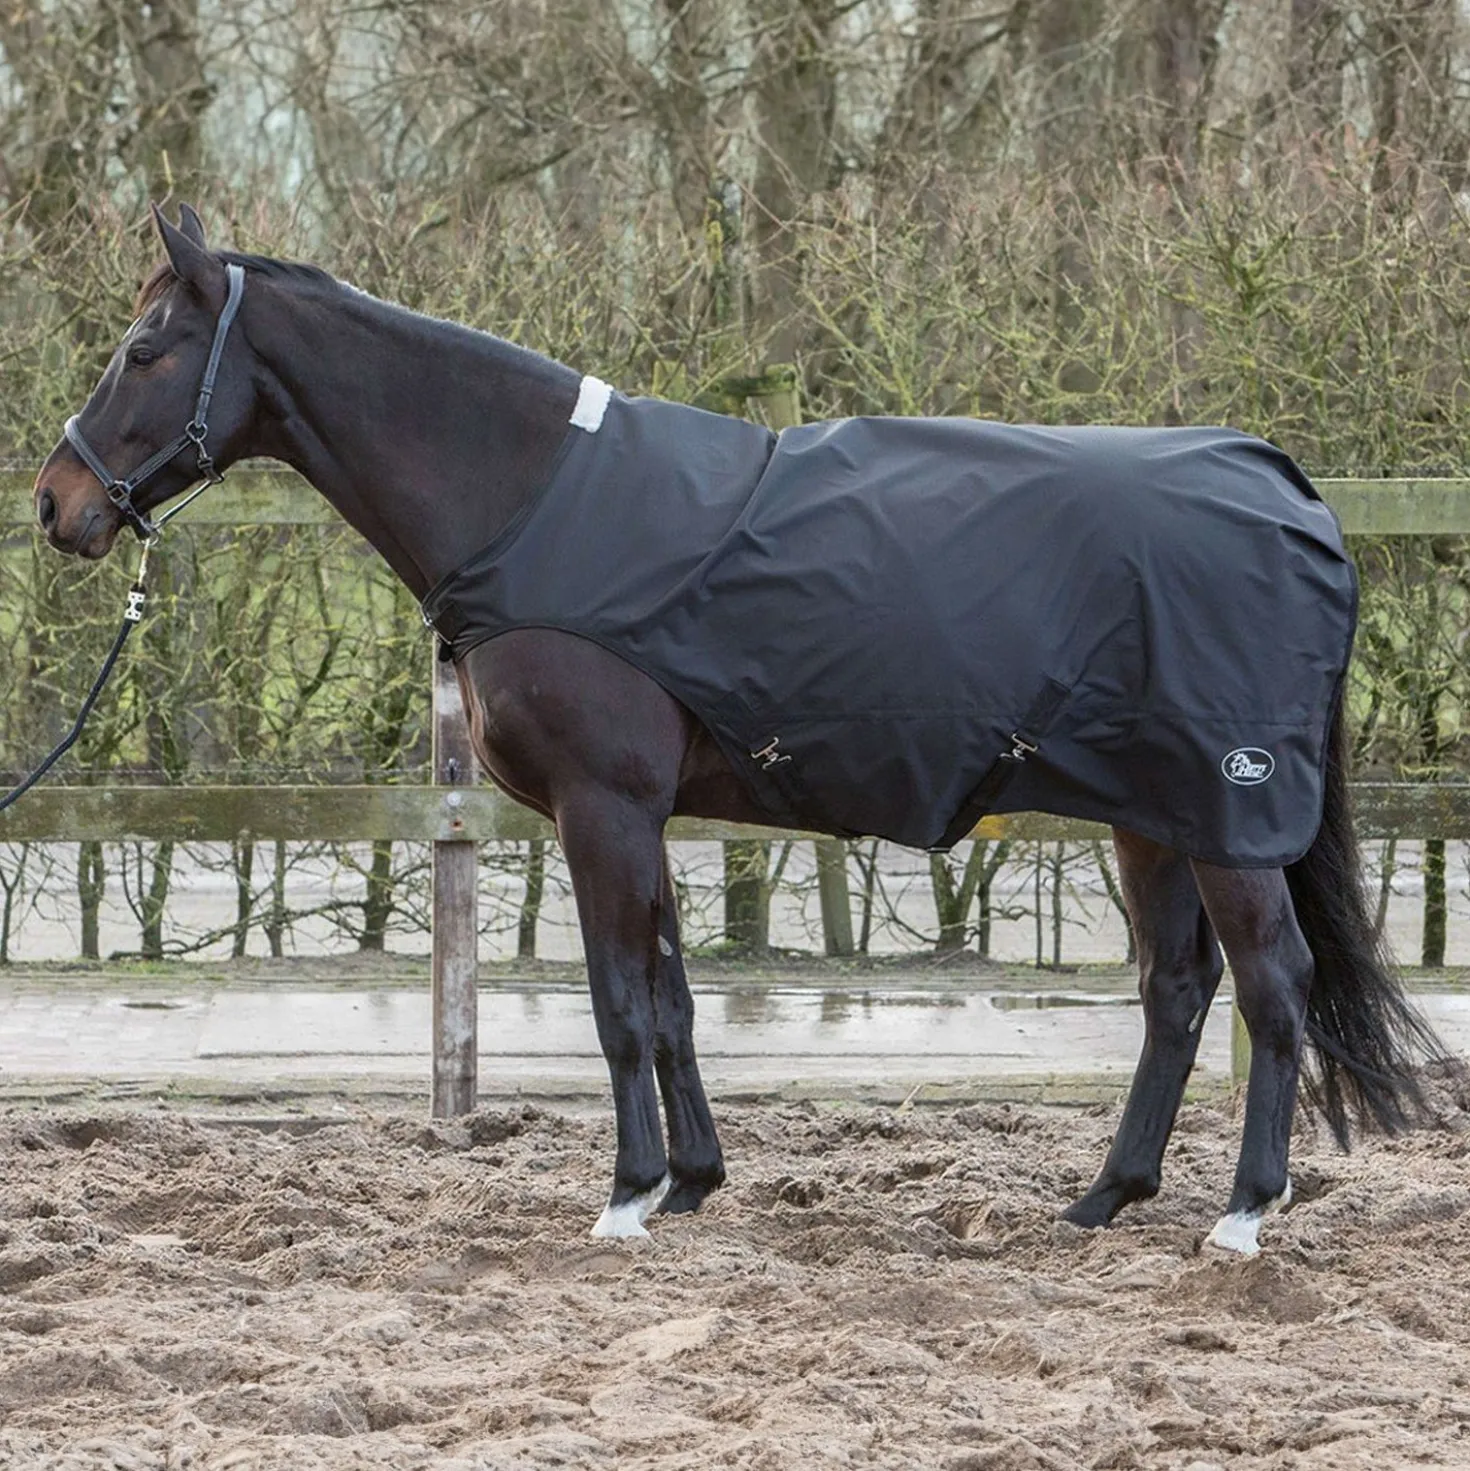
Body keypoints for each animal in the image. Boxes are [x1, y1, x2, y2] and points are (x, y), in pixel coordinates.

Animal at [33, 205, 1445, 1253]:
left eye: (146, 347)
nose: (56, 505)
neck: (531, 498)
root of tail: (1287, 489)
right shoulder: (639, 814)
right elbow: (669, 996)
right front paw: (692, 1179)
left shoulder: (603, 807)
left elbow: (618, 999)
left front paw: (624, 1198)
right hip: (1152, 816)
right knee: (1176, 990)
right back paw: (1105, 1197)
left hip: (1231, 814)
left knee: (1274, 986)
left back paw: (1244, 1214)